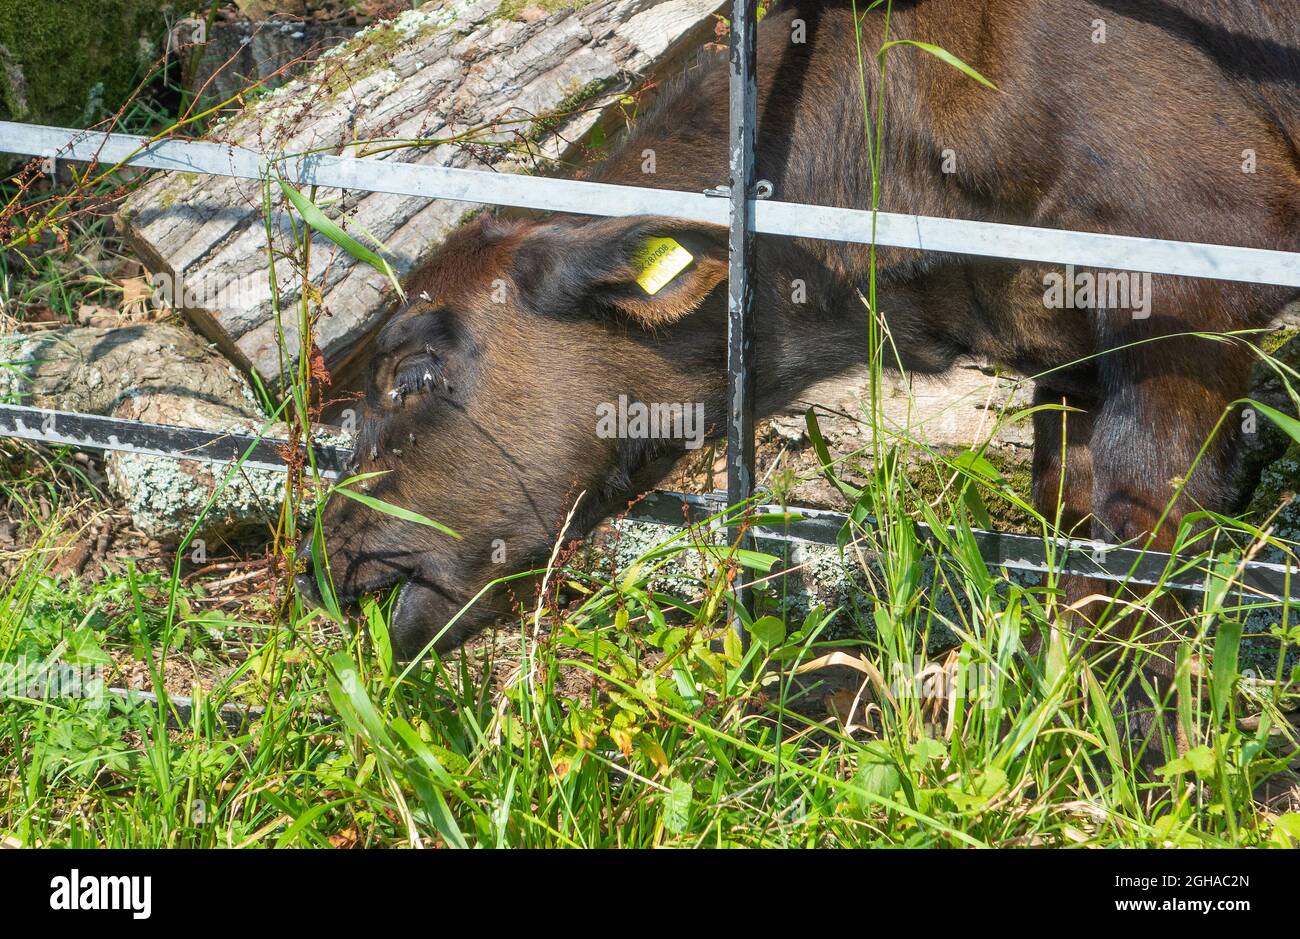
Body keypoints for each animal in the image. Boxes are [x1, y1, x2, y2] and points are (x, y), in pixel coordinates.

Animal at [299, 0, 1300, 717]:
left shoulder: (1199, 269)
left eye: (414, 372)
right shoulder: (1068, 359)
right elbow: (1065, 512)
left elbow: (1146, 524)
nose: (321, 560)